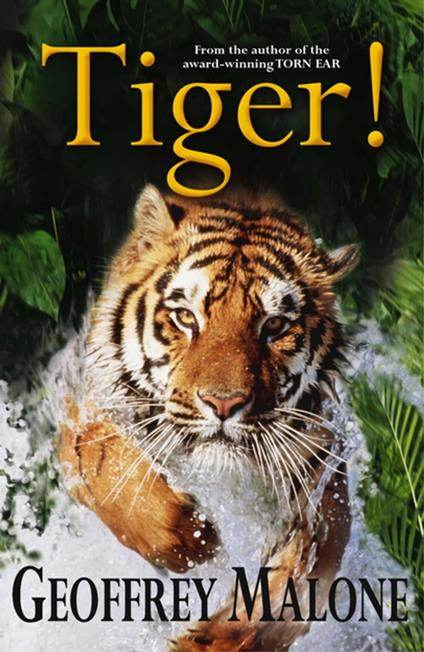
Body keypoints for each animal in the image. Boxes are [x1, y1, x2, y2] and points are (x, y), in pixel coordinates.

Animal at [59, 183, 358, 651]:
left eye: (274, 326)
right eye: (186, 317)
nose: (224, 404)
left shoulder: (323, 493)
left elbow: (289, 593)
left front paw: (210, 640)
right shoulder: (86, 414)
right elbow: (108, 468)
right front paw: (193, 540)